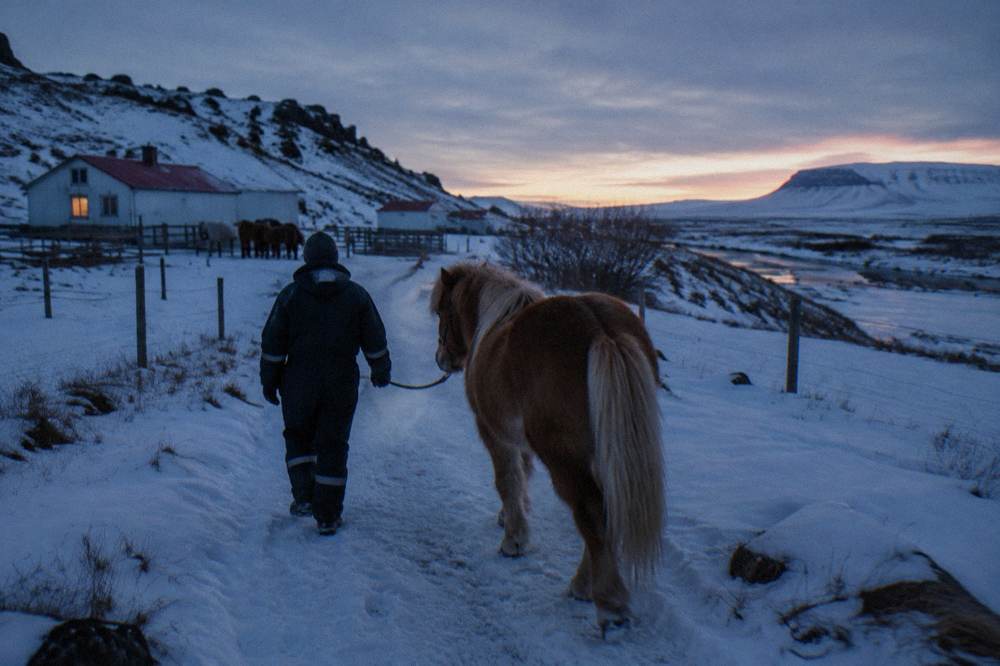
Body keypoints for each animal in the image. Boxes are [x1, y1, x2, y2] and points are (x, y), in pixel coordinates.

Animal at [430, 262, 665, 632]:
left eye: (443, 310)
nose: (442, 359)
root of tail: (601, 329)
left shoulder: (492, 430)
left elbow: (507, 479)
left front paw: (514, 540)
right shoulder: (519, 438)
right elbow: (522, 474)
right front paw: (510, 517)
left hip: (565, 461)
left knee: (592, 514)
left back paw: (606, 603)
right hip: (602, 455)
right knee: (603, 511)